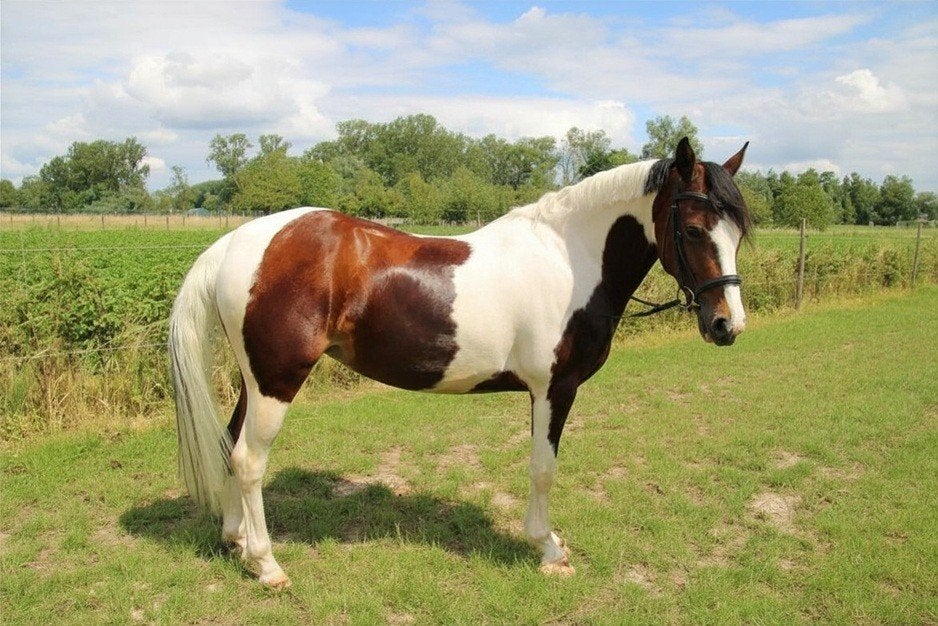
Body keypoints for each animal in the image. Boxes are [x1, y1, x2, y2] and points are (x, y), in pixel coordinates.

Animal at [169, 137, 751, 588]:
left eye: (739, 233)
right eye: (694, 229)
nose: (727, 325)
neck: (569, 260)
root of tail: (237, 241)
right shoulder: (555, 388)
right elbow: (543, 468)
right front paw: (547, 548)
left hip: (256, 379)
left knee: (230, 444)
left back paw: (235, 539)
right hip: (277, 380)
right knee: (249, 460)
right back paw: (267, 565)